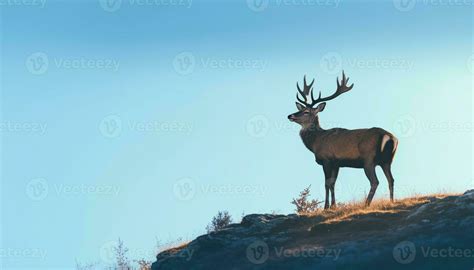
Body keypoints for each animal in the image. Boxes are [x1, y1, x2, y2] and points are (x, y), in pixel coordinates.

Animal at [286, 71, 398, 209]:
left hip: (369, 159)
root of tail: (390, 137)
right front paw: (333, 206)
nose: (290, 116)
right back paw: (391, 201)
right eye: (300, 109)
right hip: (387, 160)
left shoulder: (327, 159)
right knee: (391, 179)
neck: (316, 142)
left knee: (375, 181)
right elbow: (333, 184)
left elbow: (326, 183)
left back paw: (366, 204)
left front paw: (326, 207)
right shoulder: (337, 163)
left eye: (306, 111)